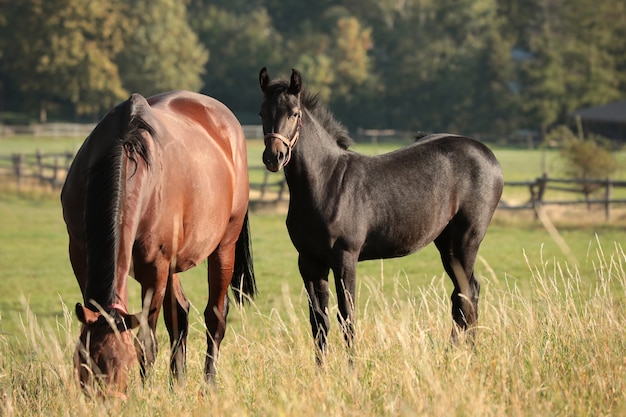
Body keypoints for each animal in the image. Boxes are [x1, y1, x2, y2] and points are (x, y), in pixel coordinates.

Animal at [59, 89, 254, 394]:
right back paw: (178, 384)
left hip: (224, 247)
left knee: (215, 317)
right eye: (84, 361)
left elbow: (147, 342)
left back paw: (208, 384)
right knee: (180, 315)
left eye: (123, 365)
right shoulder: (79, 254)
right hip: (173, 263)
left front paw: (146, 392)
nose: (104, 401)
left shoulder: (155, 269)